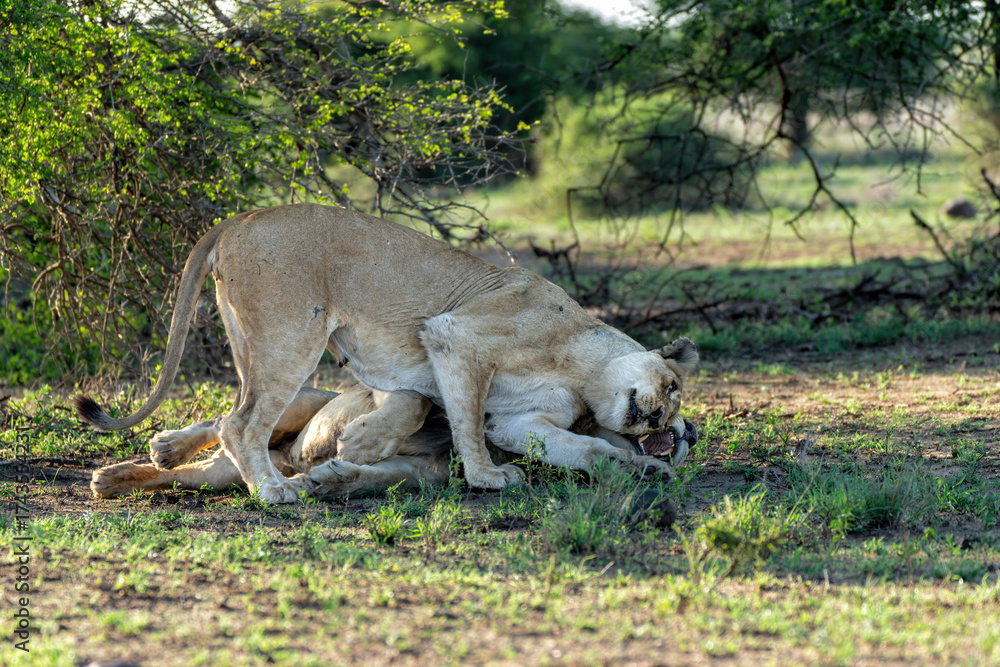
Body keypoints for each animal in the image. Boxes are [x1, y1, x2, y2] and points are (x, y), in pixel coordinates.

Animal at [76, 204, 698, 503]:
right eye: (672, 389)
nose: (671, 426)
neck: (581, 368)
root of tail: (238, 219)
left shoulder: (519, 421)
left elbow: (578, 447)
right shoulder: (455, 335)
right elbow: (461, 418)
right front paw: (486, 478)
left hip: (252, 343)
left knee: (232, 421)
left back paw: (145, 465)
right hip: (292, 336)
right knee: (241, 423)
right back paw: (274, 492)